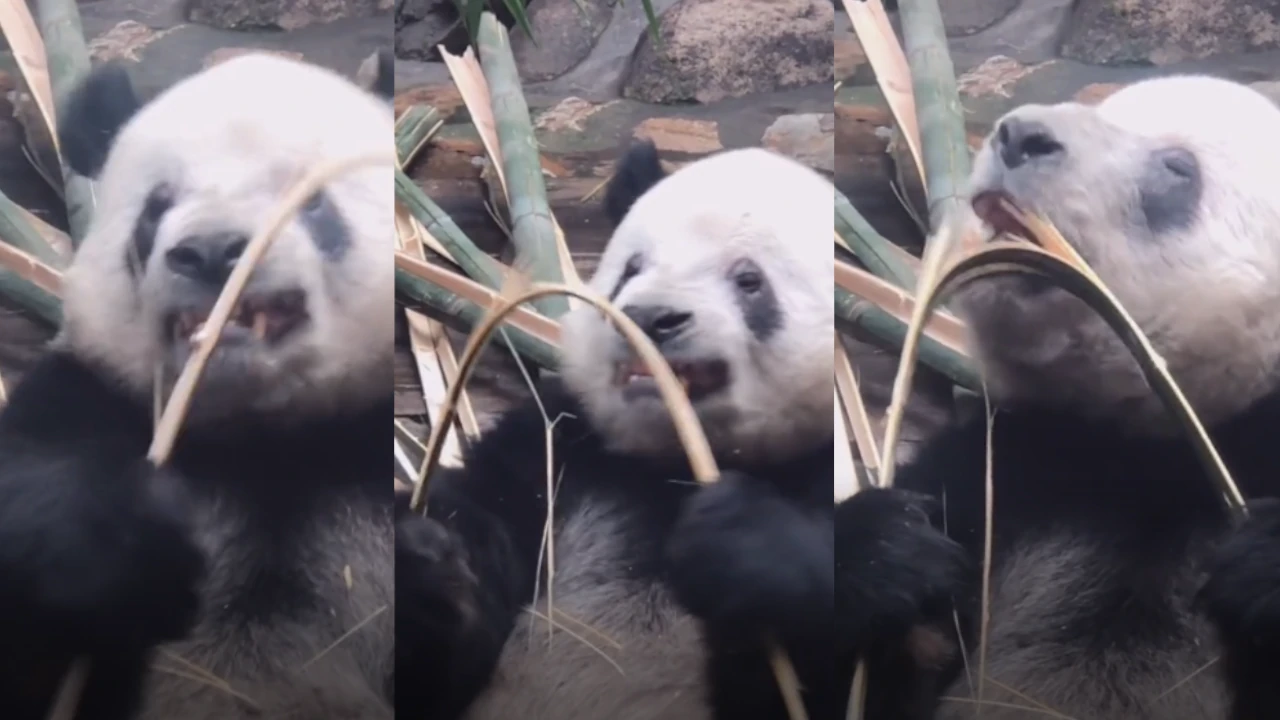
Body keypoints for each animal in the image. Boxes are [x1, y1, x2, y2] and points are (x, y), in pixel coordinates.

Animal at [0, 51, 395, 720]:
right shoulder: (88, 399)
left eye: (311, 200)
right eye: (157, 206)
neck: (263, 441)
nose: (210, 251)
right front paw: (128, 546)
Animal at [396, 140, 837, 720]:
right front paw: (423, 568)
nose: (650, 317)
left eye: (749, 281)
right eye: (631, 268)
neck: (673, 462)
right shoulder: (558, 454)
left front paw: (744, 540)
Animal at [836, 75, 1280, 720]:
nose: (1020, 135)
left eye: (1179, 168)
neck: (1136, 452)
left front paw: (1264, 561)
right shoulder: (1007, 467)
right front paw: (886, 547)